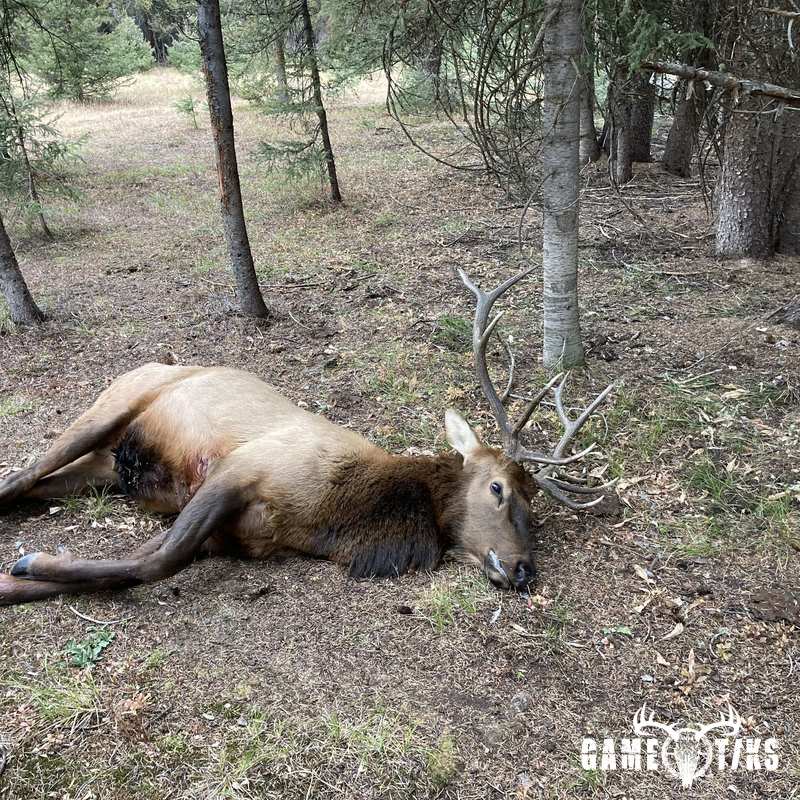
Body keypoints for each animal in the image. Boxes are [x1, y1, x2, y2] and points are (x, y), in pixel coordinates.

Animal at [0, 268, 615, 606]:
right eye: (497, 489)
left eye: (537, 509)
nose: (524, 569)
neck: (333, 518)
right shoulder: (239, 470)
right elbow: (154, 563)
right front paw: (30, 564)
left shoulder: (236, 536)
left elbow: (135, 560)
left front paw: (21, 577)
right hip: (113, 404)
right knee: (22, 473)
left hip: (109, 469)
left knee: (37, 484)